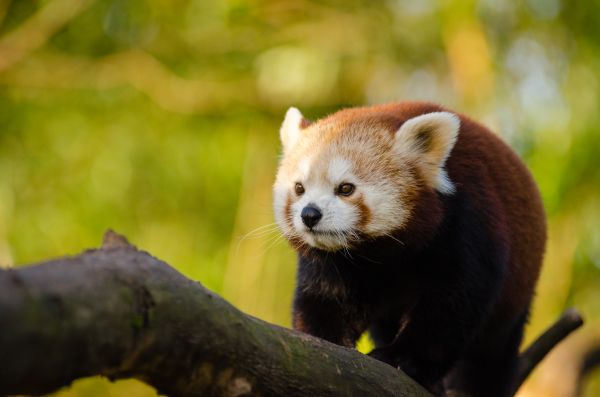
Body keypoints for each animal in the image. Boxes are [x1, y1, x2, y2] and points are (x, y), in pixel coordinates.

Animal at [274, 102, 548, 396]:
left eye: (345, 188)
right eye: (299, 188)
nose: (309, 214)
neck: (376, 254)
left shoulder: (465, 225)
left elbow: (450, 307)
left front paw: (400, 359)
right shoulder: (334, 265)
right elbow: (324, 300)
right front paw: (325, 342)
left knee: (492, 355)